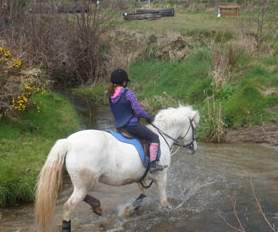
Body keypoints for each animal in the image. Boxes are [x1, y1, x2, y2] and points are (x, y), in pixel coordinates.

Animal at [35, 105, 200, 232]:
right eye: (194, 128)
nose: (194, 148)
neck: (161, 136)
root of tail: (69, 142)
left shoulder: (142, 177)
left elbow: (142, 194)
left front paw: (130, 210)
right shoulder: (161, 174)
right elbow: (163, 199)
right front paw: (168, 210)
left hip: (82, 181)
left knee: (81, 196)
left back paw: (97, 206)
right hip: (86, 181)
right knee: (69, 206)